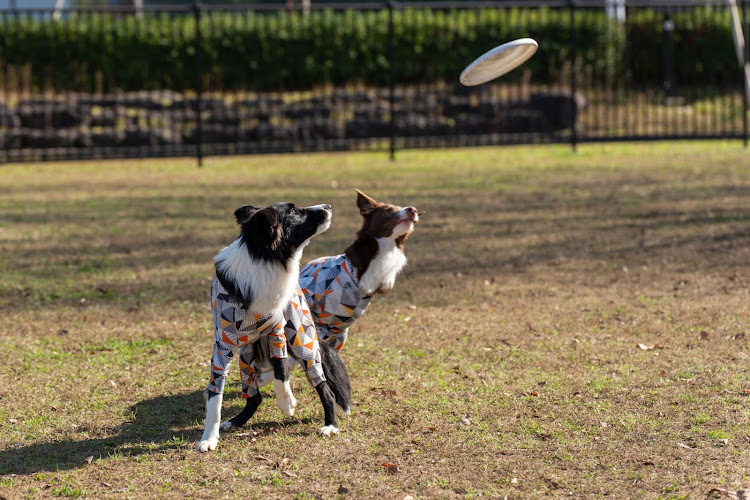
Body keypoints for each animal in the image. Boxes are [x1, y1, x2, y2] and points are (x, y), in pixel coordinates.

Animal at [198, 201, 354, 452]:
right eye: (295, 211)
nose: (328, 206)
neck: (264, 260)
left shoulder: (278, 332)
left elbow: (281, 371)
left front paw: (287, 403)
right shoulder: (222, 348)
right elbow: (215, 396)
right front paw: (208, 438)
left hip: (303, 341)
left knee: (326, 390)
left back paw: (330, 425)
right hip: (246, 356)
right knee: (254, 397)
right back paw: (236, 421)